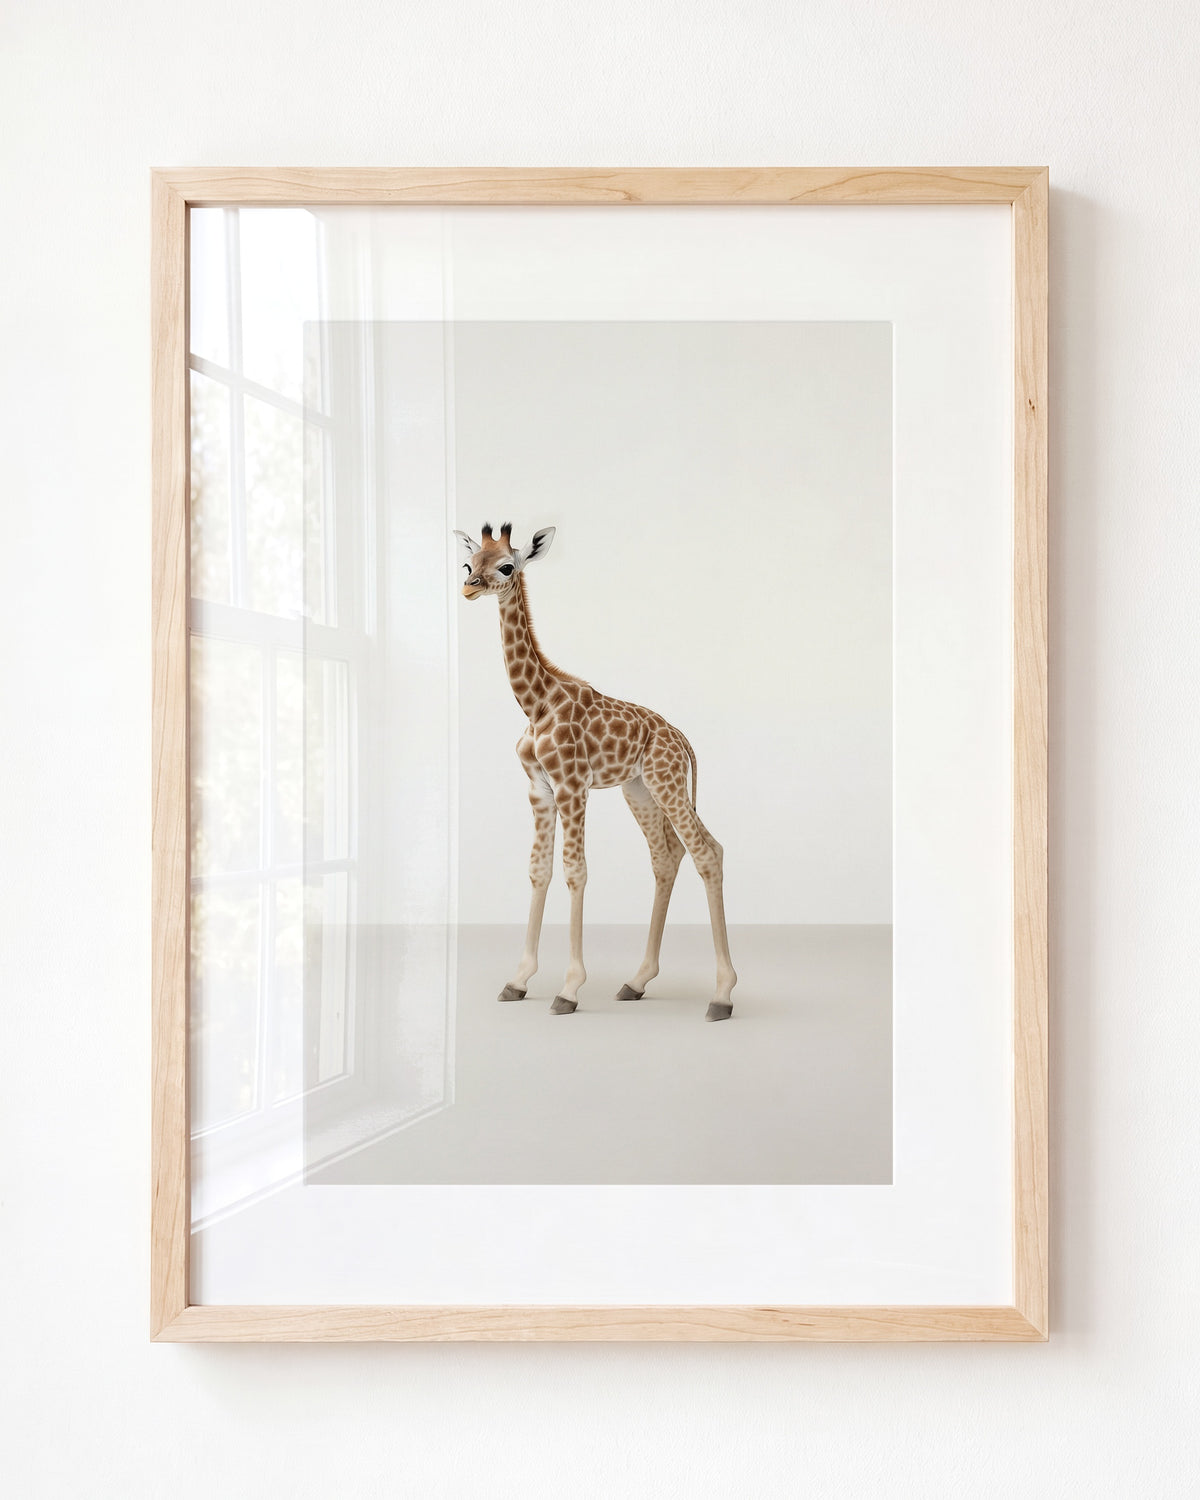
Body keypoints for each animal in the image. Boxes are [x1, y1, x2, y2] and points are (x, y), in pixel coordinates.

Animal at [455, 522, 736, 1021]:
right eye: (469, 563)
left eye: (506, 566)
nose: (468, 587)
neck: (536, 704)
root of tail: (682, 739)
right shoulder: (539, 789)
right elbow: (538, 869)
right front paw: (517, 981)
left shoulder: (572, 786)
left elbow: (575, 871)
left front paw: (569, 989)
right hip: (640, 789)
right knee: (670, 856)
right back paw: (636, 981)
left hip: (666, 782)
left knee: (705, 852)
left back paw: (721, 996)